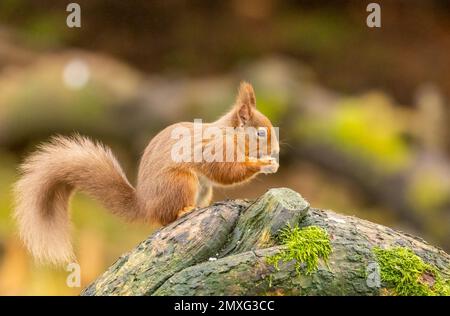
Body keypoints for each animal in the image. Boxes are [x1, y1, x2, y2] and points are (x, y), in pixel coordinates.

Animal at [14, 81, 280, 264]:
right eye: (260, 133)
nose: (277, 151)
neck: (229, 134)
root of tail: (145, 203)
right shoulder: (214, 149)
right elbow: (227, 172)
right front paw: (264, 164)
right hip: (181, 182)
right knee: (166, 217)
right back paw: (185, 210)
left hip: (203, 189)